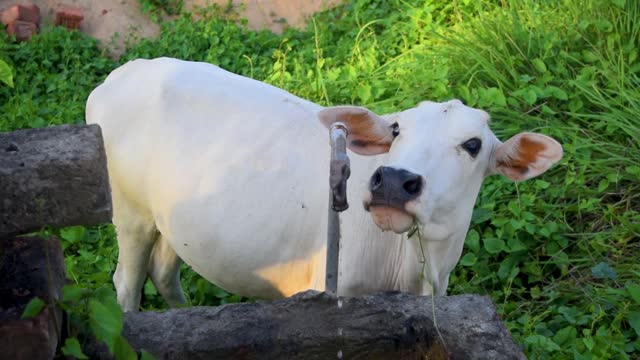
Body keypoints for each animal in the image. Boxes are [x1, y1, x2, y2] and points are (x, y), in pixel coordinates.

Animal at [87, 57, 564, 310]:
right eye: (396, 130)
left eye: (472, 144)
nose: (394, 181)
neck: (414, 269)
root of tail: (123, 73)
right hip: (130, 214)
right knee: (126, 283)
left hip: (173, 219)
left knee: (165, 272)